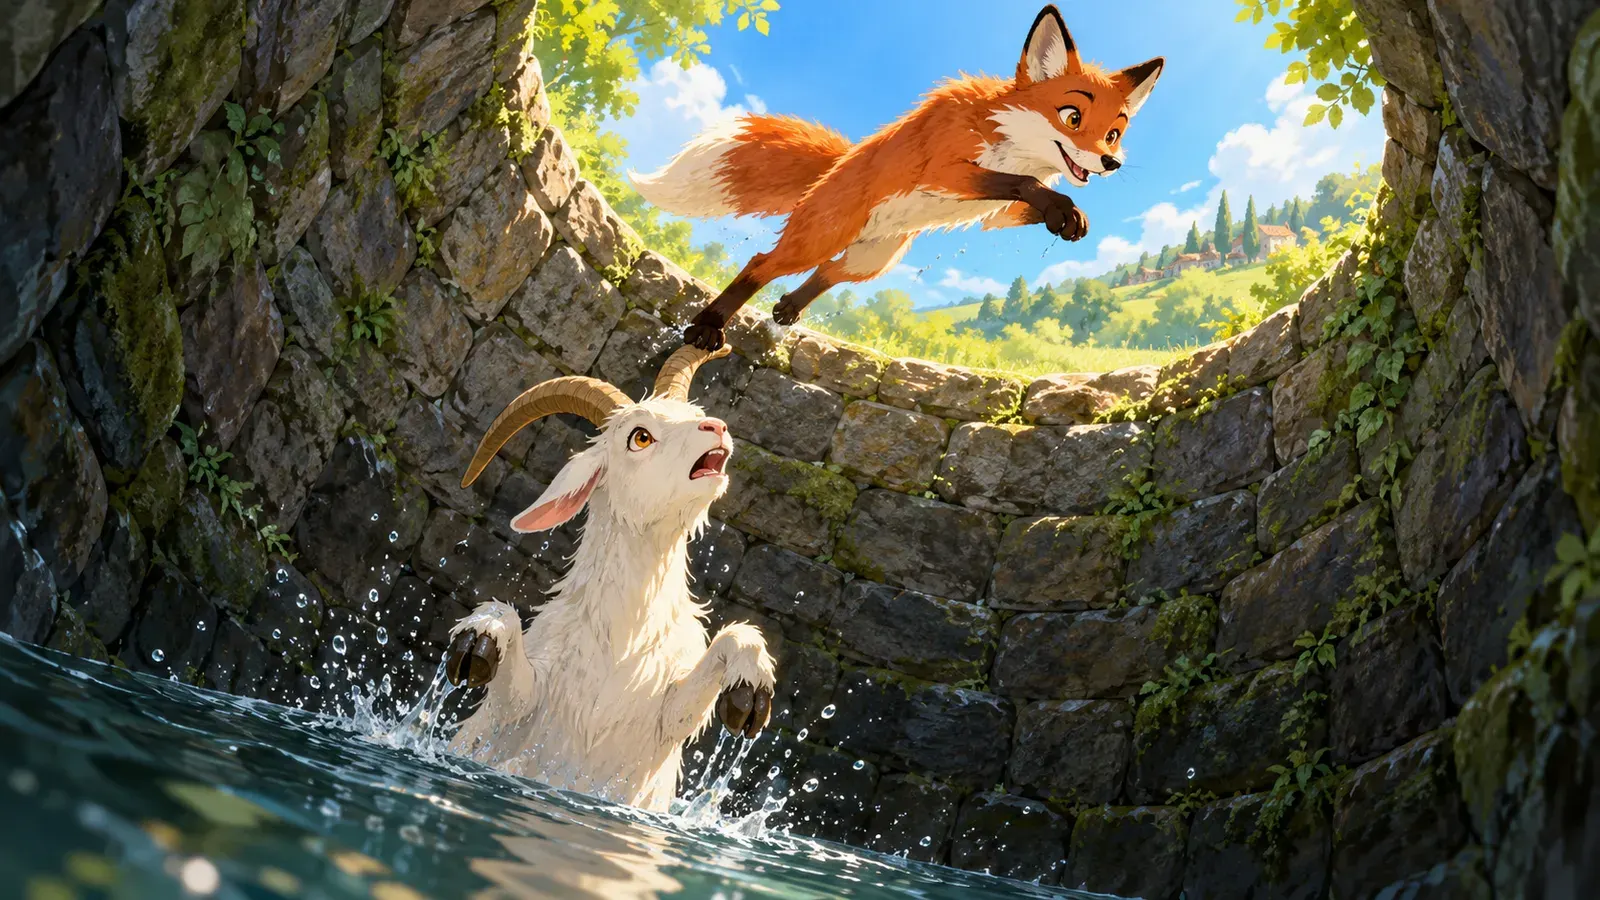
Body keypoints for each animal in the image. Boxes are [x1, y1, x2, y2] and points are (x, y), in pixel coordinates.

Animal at [442, 344, 776, 812]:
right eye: (640, 436)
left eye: (695, 411)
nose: (717, 427)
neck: (621, 640)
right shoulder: (524, 706)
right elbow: (509, 688)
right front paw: (479, 638)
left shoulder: (663, 718)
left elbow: (705, 682)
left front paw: (750, 695)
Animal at [629, 5, 1164, 350]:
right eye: (1072, 117)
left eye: (1114, 133)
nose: (1111, 163)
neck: (1008, 141)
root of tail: (835, 167)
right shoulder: (947, 170)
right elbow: (1025, 186)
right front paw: (1059, 207)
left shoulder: (995, 211)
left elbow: (1027, 200)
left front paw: (1069, 217)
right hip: (821, 237)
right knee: (762, 264)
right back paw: (708, 326)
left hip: (873, 258)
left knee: (828, 274)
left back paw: (787, 310)